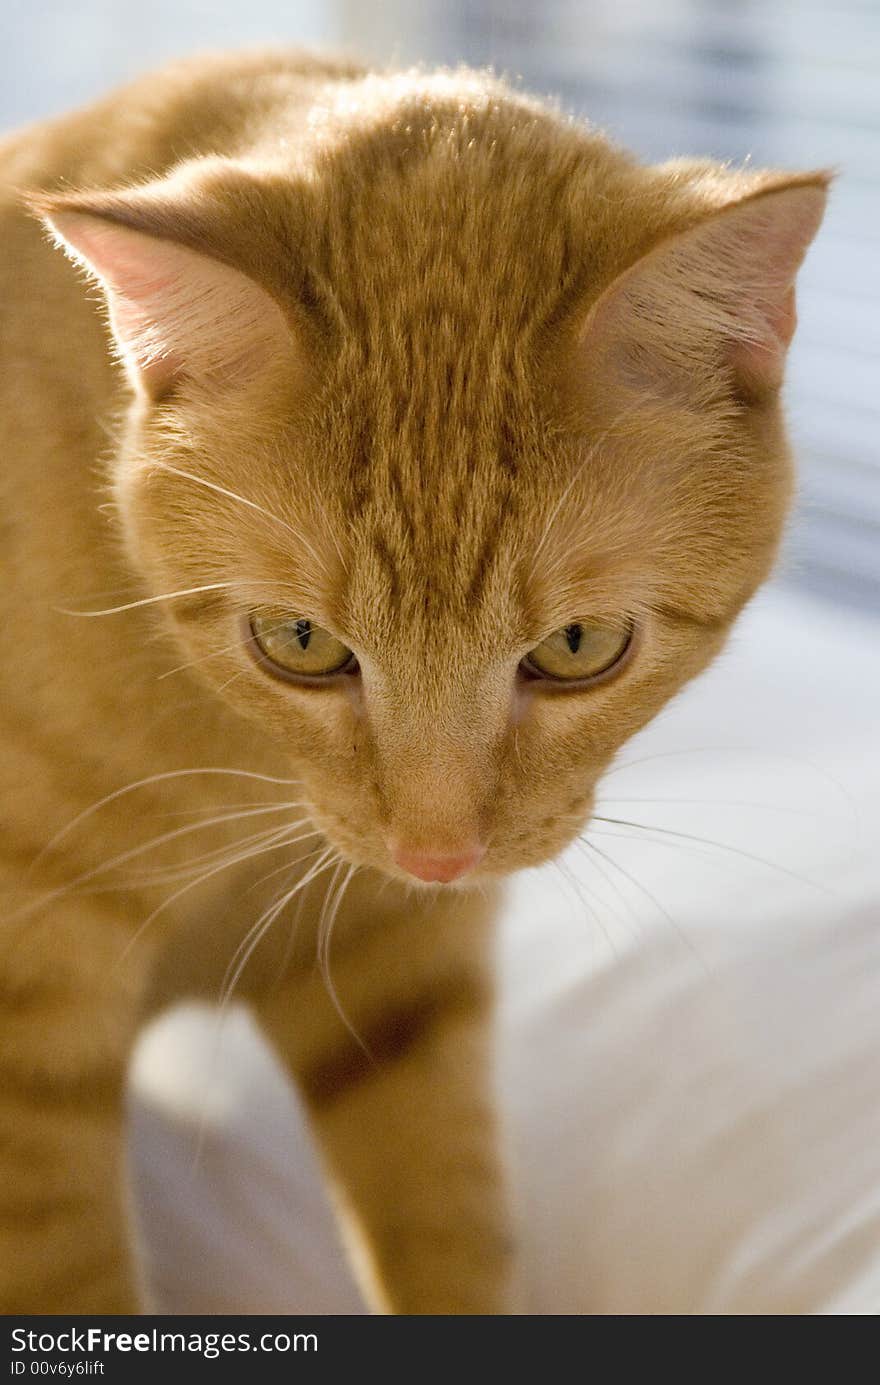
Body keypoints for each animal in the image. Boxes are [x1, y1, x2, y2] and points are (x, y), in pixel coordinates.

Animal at [0, 48, 825, 1312]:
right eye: (297, 640)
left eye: (578, 647)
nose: (438, 851)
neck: (241, 772)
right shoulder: (30, 1024)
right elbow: (71, 1277)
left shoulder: (399, 975)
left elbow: (448, 1222)